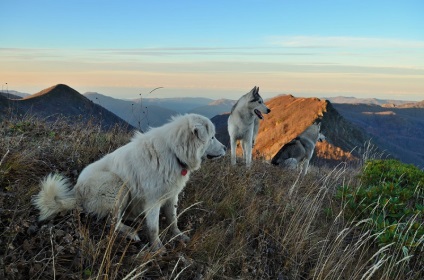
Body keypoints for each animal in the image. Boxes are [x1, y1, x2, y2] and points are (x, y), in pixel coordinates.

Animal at [33, 114, 227, 252]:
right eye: (212, 137)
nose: (226, 148)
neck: (174, 152)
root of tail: (77, 193)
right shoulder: (153, 201)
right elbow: (154, 228)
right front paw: (158, 248)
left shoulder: (171, 197)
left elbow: (173, 220)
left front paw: (178, 236)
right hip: (119, 186)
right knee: (113, 222)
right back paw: (131, 232)